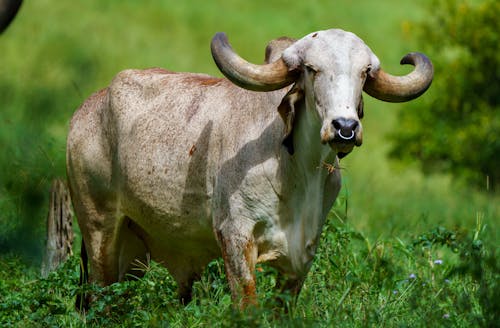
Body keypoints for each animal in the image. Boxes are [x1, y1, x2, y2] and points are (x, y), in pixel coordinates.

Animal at [67, 28, 434, 310]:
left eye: (364, 72)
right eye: (312, 69)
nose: (345, 127)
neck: (297, 171)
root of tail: (87, 109)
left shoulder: (302, 252)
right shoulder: (235, 237)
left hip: (132, 249)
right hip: (99, 233)